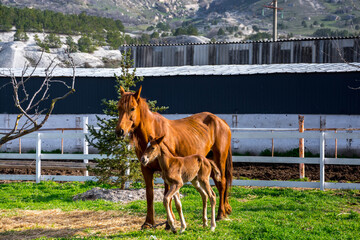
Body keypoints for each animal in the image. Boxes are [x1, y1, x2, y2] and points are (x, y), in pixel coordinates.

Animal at [116, 86, 233, 229]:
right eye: (119, 108)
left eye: (132, 108)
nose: (119, 131)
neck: (154, 131)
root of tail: (221, 121)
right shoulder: (146, 169)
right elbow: (150, 195)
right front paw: (148, 223)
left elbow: (167, 195)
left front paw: (169, 223)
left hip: (220, 159)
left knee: (222, 183)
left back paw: (220, 214)